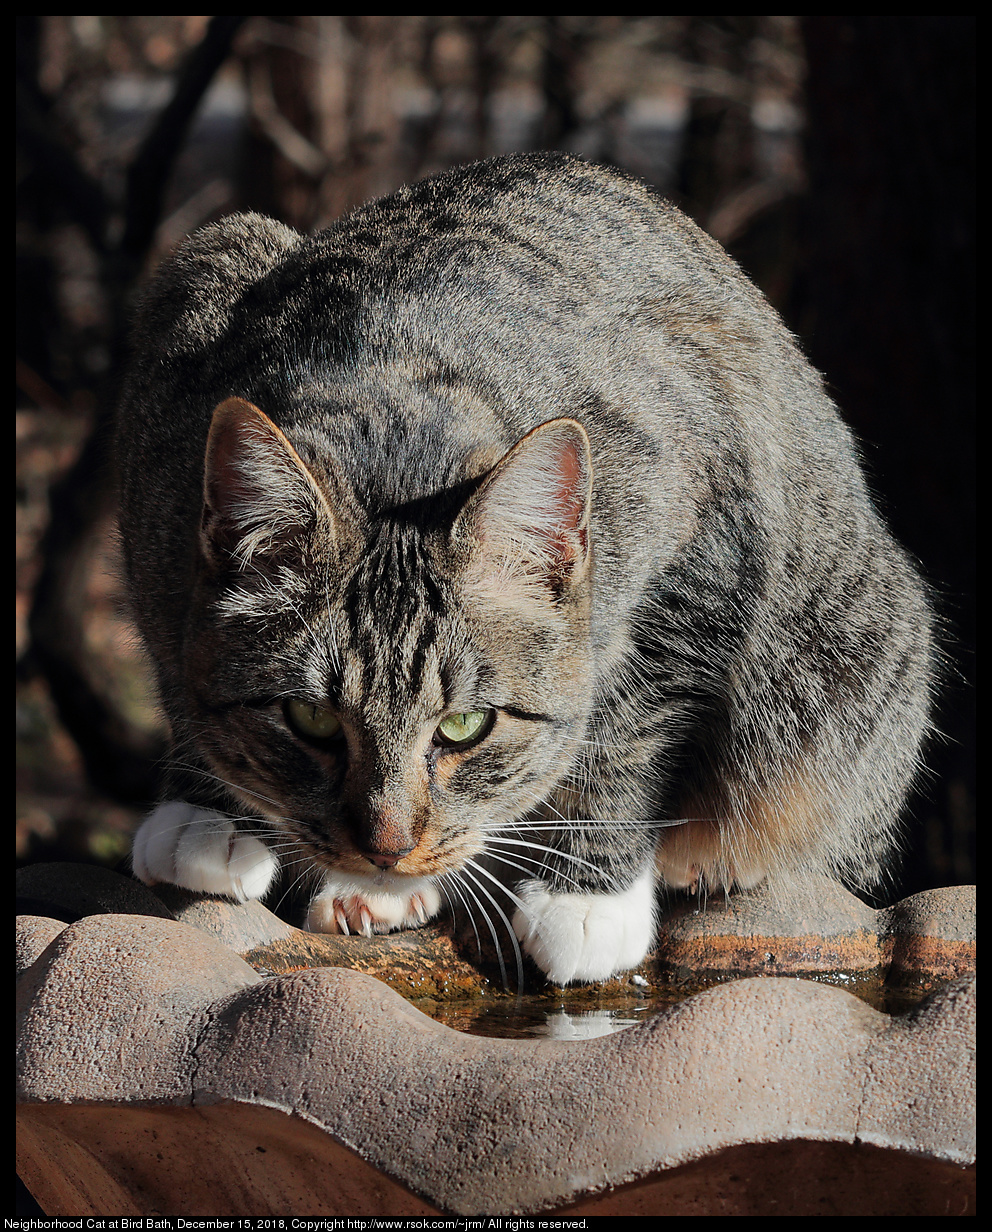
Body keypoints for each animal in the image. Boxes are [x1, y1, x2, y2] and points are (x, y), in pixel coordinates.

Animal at [118, 151, 936, 980]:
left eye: (465, 727)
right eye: (309, 718)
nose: (385, 849)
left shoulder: (710, 521)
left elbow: (627, 730)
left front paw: (588, 897)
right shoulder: (186, 323)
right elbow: (182, 674)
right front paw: (209, 809)